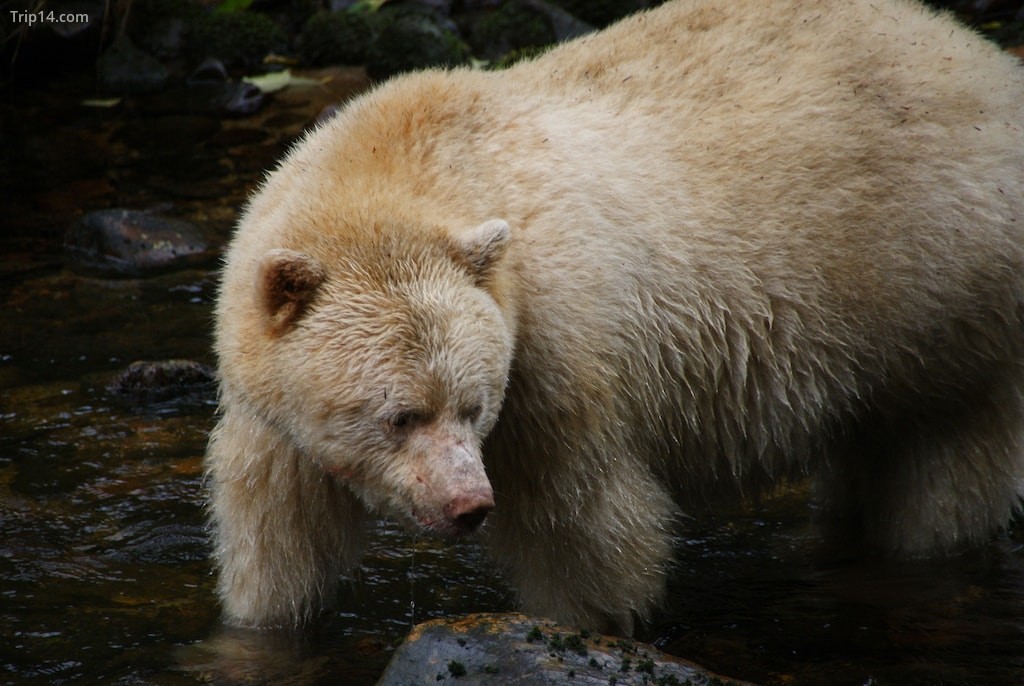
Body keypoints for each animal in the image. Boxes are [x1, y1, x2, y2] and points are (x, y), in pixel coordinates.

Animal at [205, 0, 1024, 634]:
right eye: (401, 415)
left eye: (472, 405)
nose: (467, 504)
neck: (403, 172)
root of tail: (984, 57)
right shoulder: (271, 410)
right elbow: (278, 537)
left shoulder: (555, 355)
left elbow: (580, 522)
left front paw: (587, 622)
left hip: (945, 285)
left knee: (946, 459)